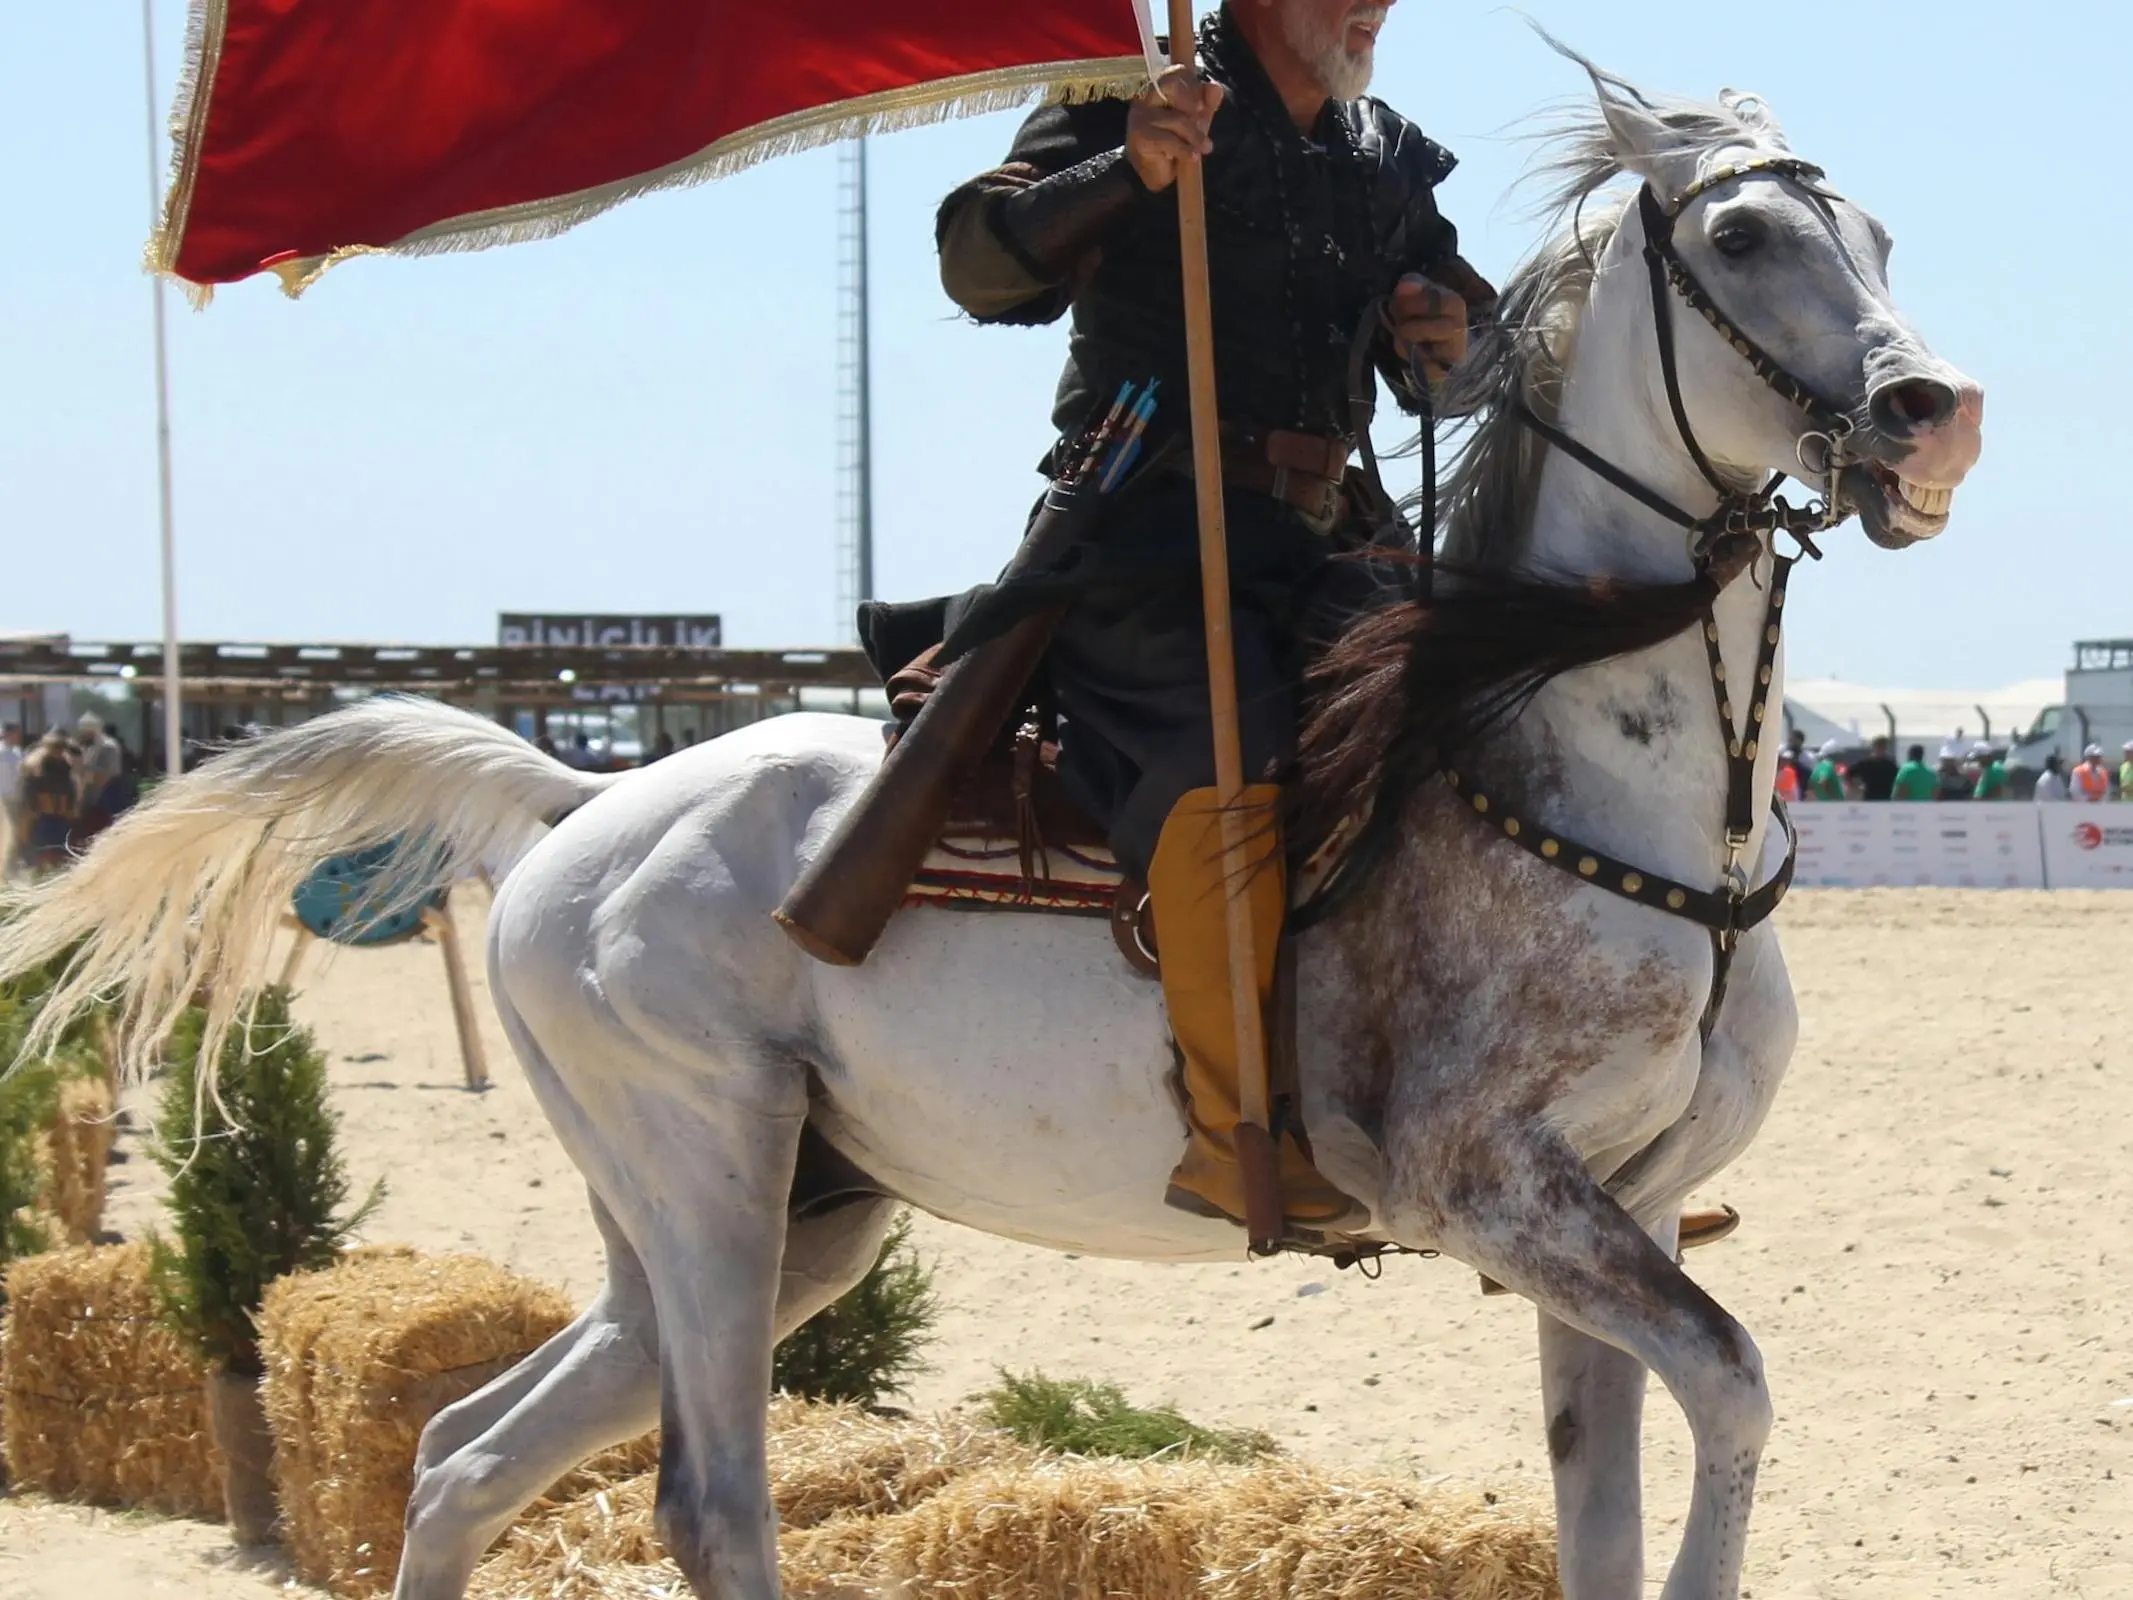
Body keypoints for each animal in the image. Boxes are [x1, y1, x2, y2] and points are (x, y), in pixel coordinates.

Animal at [8, 59, 1987, 1600]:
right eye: (1741, 241)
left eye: (1886, 239)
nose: (1931, 419)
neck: (1591, 773)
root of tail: (588, 805)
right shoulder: (1487, 1186)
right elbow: (1735, 1387)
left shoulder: (1611, 1214)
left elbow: (1606, 1509)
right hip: (713, 1184)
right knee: (709, 1508)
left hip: (761, 1220)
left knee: (459, 1455)